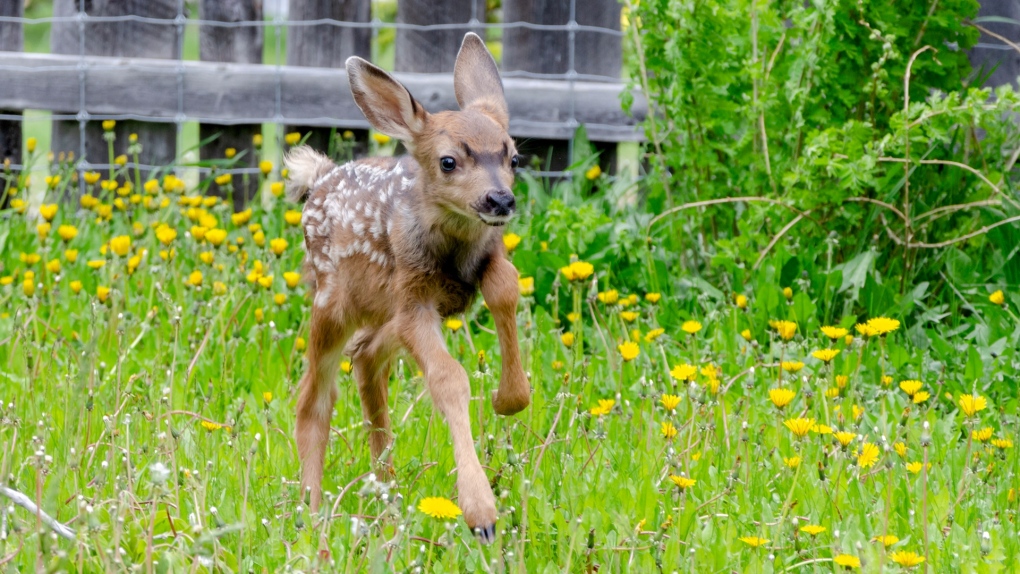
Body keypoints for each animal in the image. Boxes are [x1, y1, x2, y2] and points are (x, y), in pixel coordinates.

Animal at [283, 32, 530, 542]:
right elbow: (449, 379)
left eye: (513, 156)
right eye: (449, 161)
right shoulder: (413, 297)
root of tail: (315, 178)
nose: (500, 199)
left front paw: (508, 398)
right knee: (314, 400)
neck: (451, 253)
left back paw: (387, 495)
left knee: (366, 360)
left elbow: (506, 287)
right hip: (331, 303)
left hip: (379, 314)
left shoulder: (481, 266)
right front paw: (481, 514)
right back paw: (313, 515)